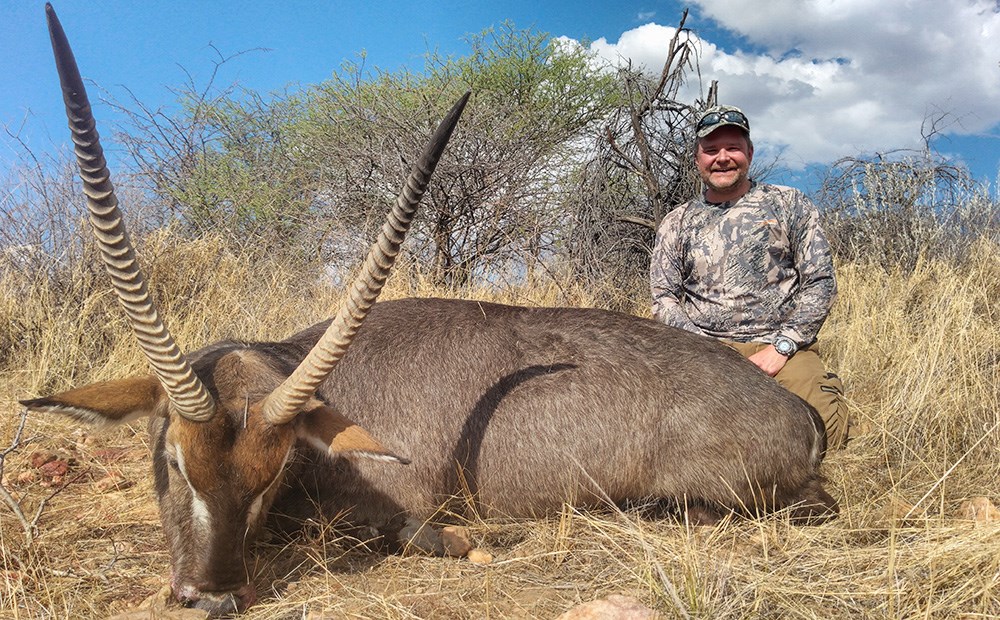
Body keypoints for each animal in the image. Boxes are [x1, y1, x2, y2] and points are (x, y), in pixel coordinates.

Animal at [21, 3, 836, 616]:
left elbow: (414, 533)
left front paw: (470, 544)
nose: (213, 597)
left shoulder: (407, 502)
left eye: (270, 471)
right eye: (171, 461)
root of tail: (793, 407)